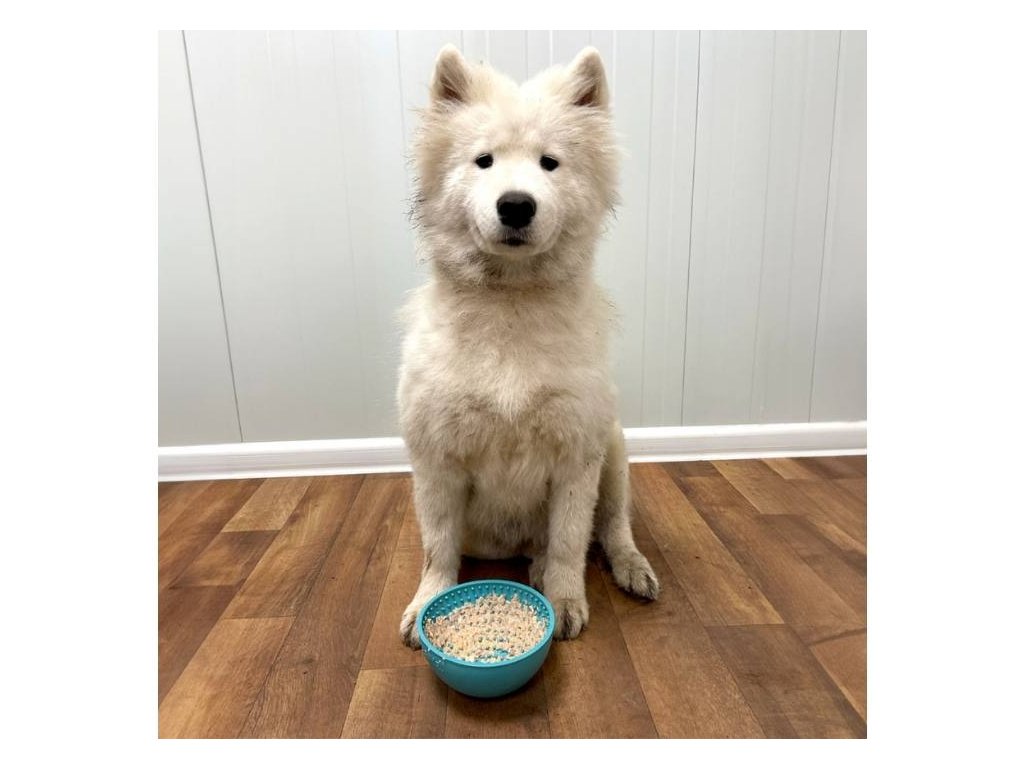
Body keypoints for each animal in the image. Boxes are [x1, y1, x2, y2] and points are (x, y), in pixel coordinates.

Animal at [397, 45, 659, 646]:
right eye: (484, 161)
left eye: (550, 163)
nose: (516, 206)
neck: (511, 304)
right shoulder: (436, 459)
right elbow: (437, 549)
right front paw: (426, 604)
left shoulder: (577, 454)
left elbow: (568, 541)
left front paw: (564, 600)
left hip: (614, 450)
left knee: (611, 527)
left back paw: (629, 568)